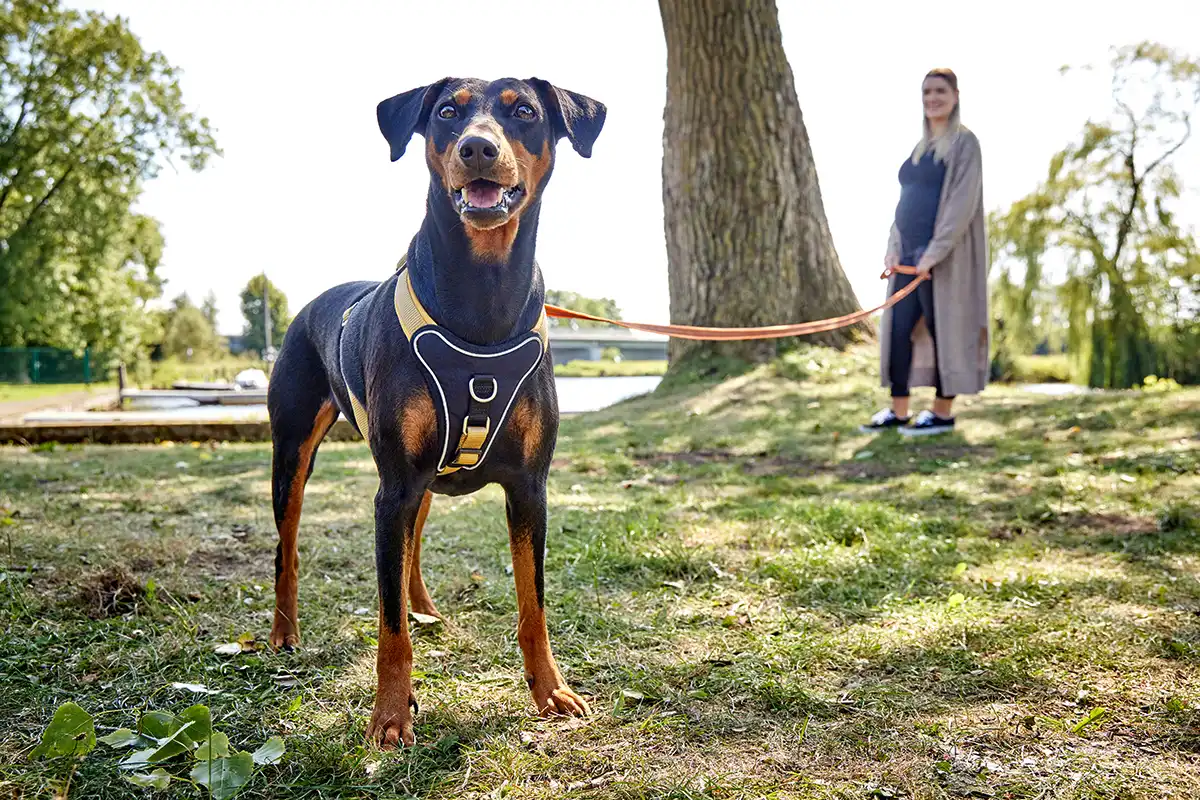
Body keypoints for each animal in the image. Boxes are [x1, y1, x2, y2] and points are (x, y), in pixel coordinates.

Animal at [267, 77, 604, 748]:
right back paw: (285, 631)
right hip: (294, 454)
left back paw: (424, 607)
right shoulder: (393, 486)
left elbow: (533, 602)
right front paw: (391, 715)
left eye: (524, 111)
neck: (482, 294)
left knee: (412, 548)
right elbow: (387, 622)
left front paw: (550, 691)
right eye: (448, 112)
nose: (477, 148)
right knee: (287, 549)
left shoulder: (529, 486)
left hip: (423, 477)